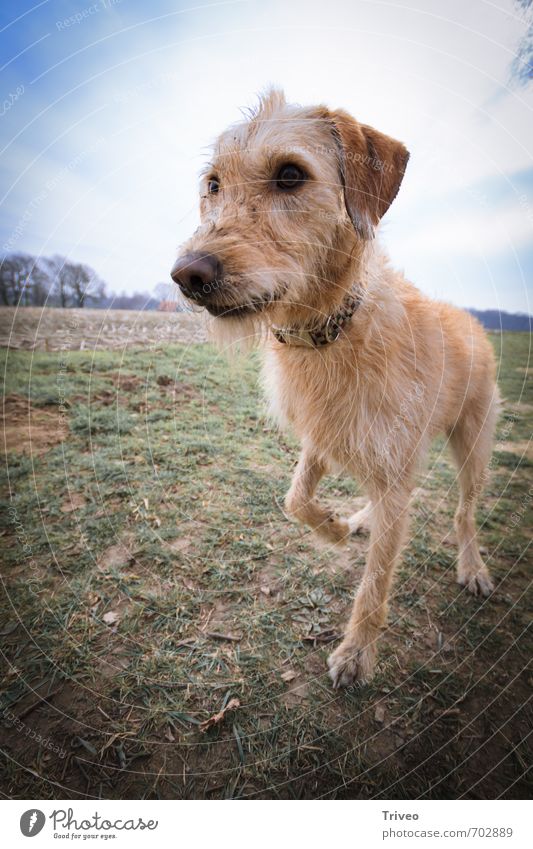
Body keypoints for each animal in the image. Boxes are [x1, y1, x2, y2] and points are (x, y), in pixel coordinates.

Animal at [171, 89, 498, 684]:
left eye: (290, 175)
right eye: (213, 184)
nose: (186, 275)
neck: (329, 332)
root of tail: (473, 322)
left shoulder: (392, 462)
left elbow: (376, 582)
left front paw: (356, 654)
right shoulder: (323, 437)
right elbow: (294, 499)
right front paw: (334, 527)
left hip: (474, 446)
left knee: (463, 513)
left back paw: (472, 567)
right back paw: (362, 520)